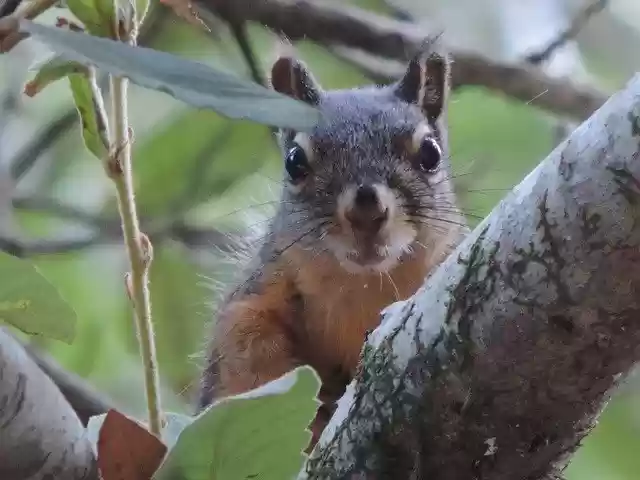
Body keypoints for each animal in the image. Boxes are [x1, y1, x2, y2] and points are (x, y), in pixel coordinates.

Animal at [196, 42, 468, 451]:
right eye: (294, 161)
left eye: (431, 154)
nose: (366, 210)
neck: (364, 287)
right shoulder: (254, 298)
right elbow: (248, 356)